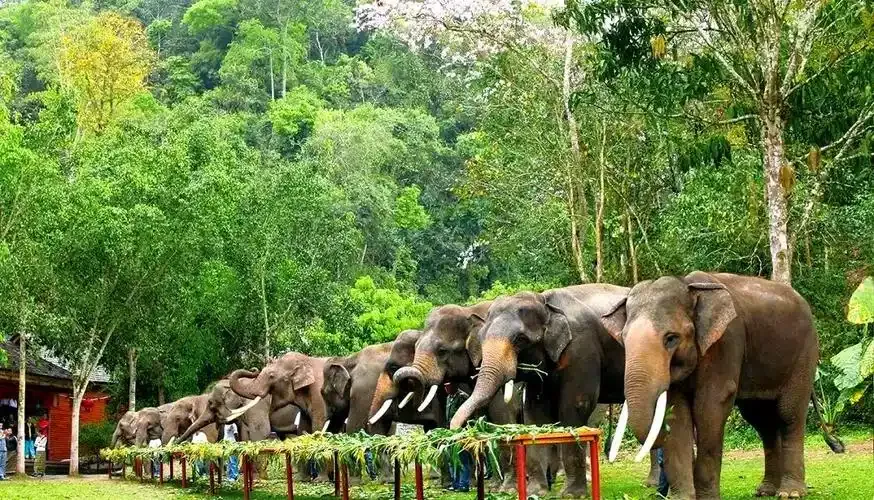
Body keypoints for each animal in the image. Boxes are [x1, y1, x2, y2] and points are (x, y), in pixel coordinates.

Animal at [448, 284, 660, 498]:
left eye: (520, 340)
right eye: (481, 339)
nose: (457, 429)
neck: (545, 302)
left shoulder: (581, 348)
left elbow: (576, 407)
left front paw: (571, 495)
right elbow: (536, 413)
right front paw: (536, 492)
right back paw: (654, 484)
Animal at [600, 272, 842, 499]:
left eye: (671, 338)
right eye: (623, 339)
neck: (687, 285)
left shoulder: (726, 342)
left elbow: (710, 407)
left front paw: (706, 497)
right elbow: (677, 413)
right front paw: (683, 498)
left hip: (804, 356)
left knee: (789, 415)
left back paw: (790, 493)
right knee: (762, 421)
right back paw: (766, 490)